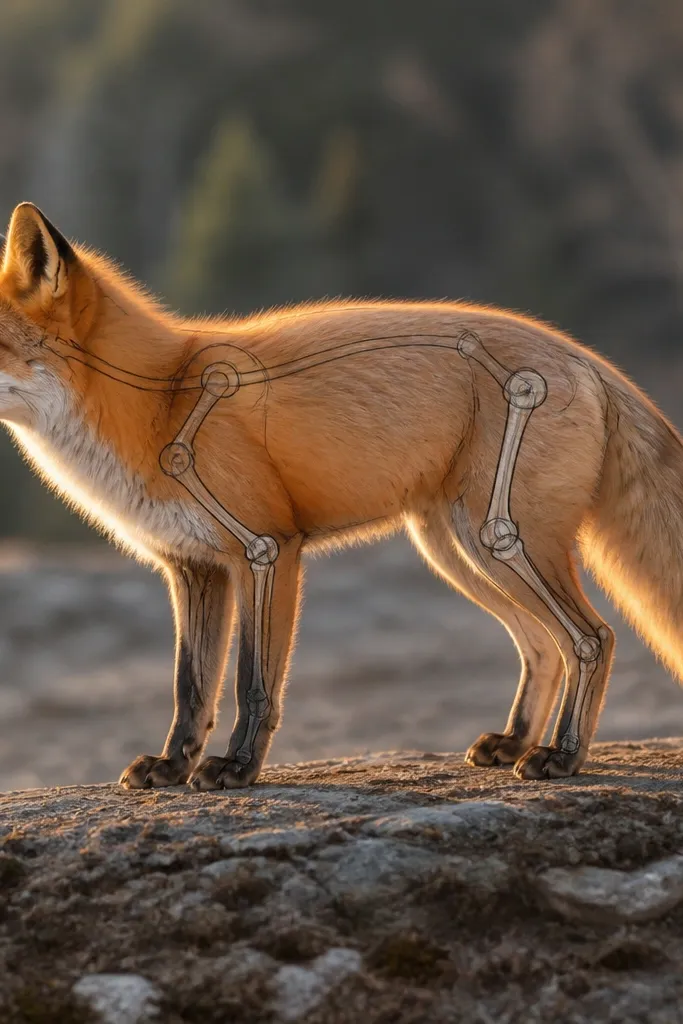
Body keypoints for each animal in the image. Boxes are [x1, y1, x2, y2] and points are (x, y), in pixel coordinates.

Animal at [0, 200, 680, 790]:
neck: (159, 400)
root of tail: (584, 354)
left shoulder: (265, 548)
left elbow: (251, 684)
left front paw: (237, 769)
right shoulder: (192, 567)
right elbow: (190, 688)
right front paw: (172, 767)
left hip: (502, 539)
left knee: (591, 639)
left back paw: (563, 755)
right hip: (456, 550)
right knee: (541, 644)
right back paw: (515, 742)